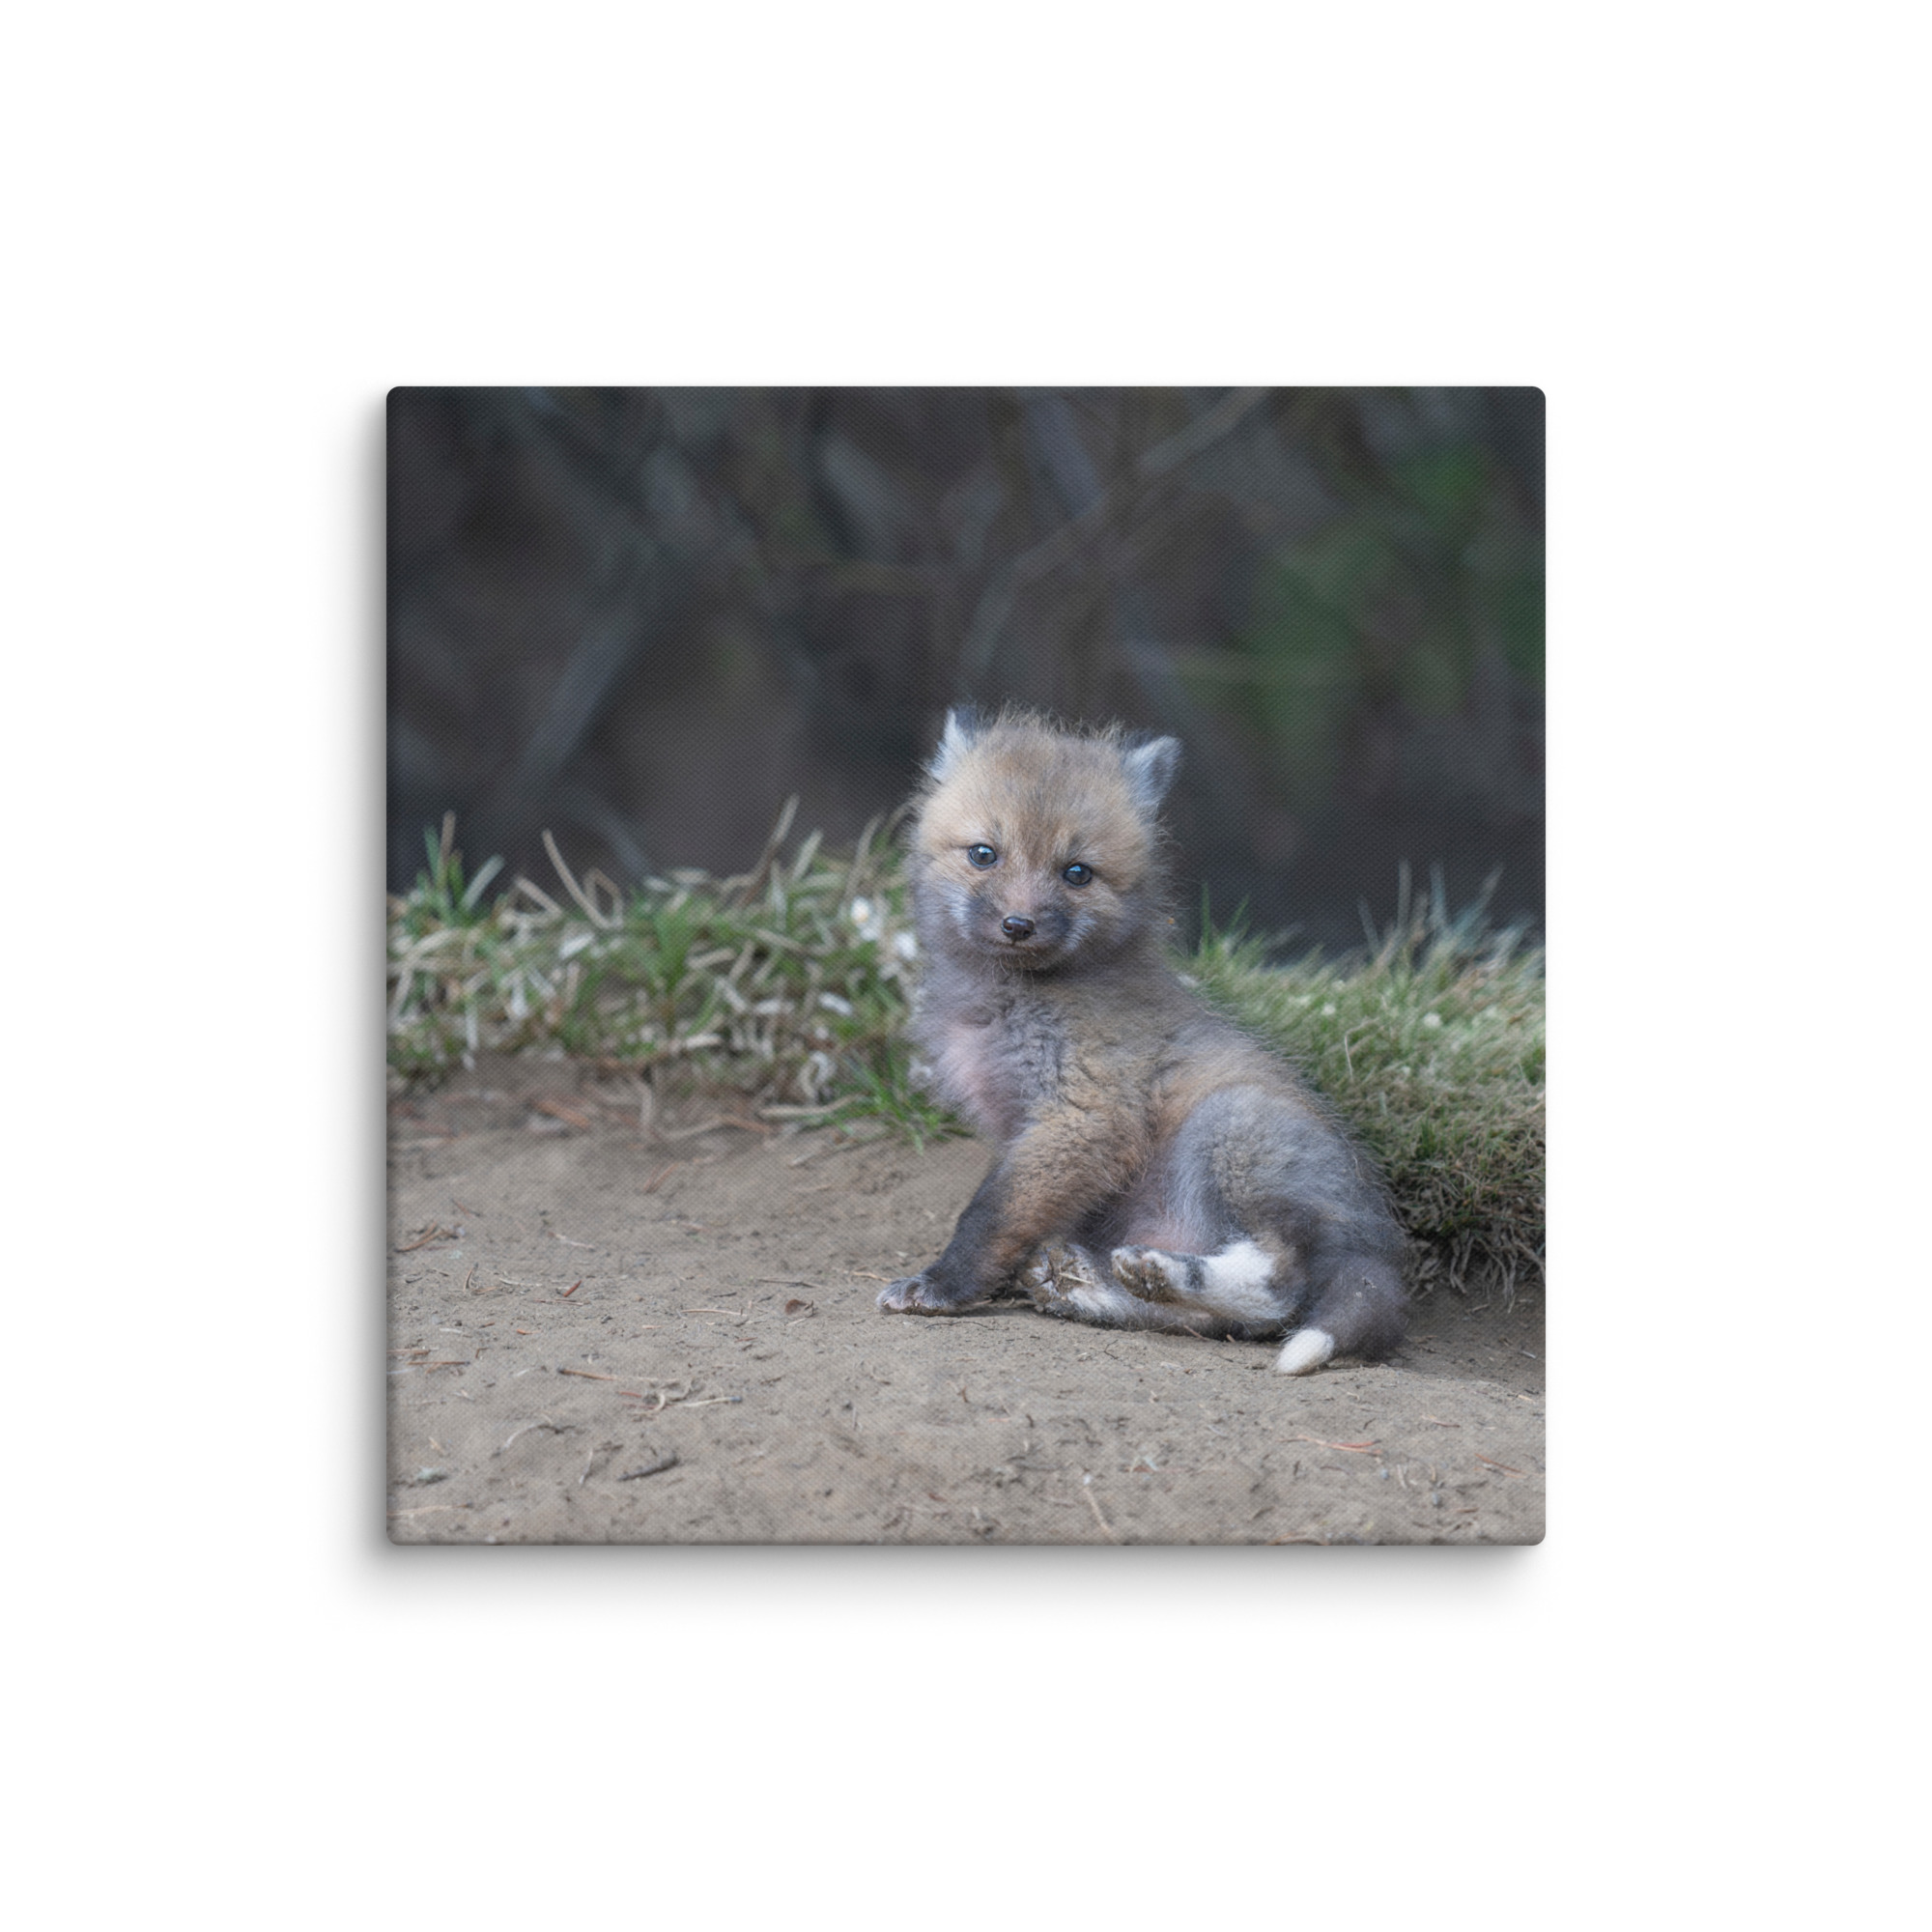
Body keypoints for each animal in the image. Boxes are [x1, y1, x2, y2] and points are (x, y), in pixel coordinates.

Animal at [875, 708, 1406, 1374]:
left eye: (1077, 872)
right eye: (983, 854)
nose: (1018, 925)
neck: (1010, 1001)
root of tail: (1378, 1244)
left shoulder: (1084, 1115)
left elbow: (990, 1215)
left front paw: (942, 1285)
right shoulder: (1027, 1129)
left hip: (1229, 1128)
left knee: (1279, 1287)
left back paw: (1161, 1273)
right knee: (1224, 1323)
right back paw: (1095, 1287)